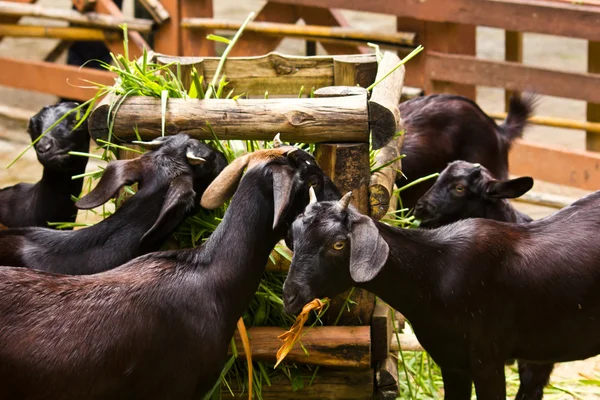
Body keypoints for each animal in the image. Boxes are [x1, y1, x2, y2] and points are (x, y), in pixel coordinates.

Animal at [282, 191, 600, 400]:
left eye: (338, 244)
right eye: (295, 235)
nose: (289, 296)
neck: (434, 274)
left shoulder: (488, 360)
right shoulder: (451, 361)